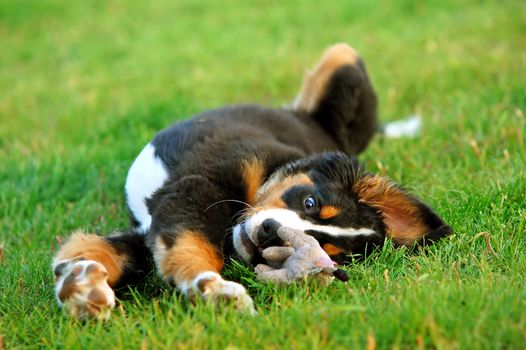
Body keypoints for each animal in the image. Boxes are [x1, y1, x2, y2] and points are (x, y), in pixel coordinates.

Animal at [51, 42, 452, 318]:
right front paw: (212, 289)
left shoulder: (161, 219)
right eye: (310, 202)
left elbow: (130, 252)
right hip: (345, 60)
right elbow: (190, 245)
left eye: (325, 248)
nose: (271, 233)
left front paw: (80, 284)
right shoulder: (197, 186)